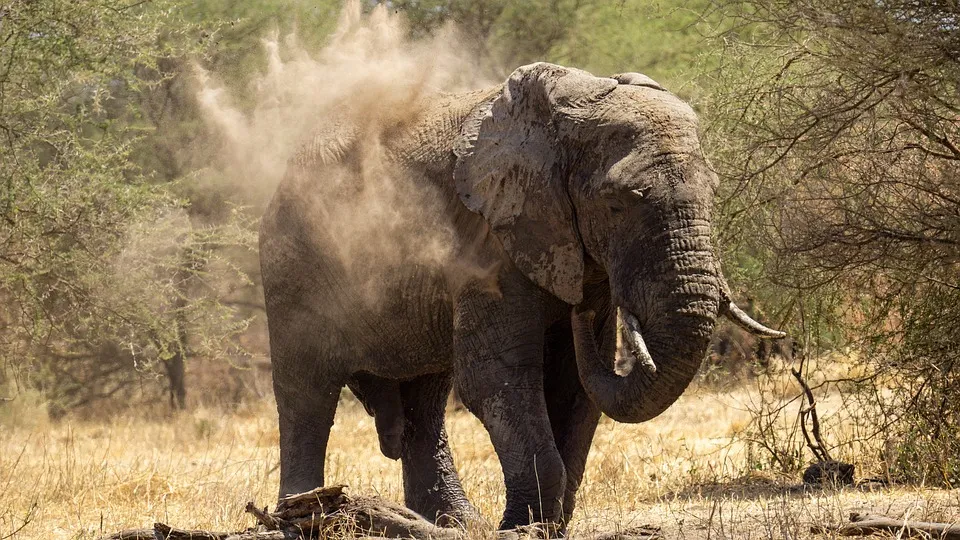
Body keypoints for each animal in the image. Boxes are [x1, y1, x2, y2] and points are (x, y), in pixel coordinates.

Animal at [258, 61, 784, 528]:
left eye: (714, 192)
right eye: (616, 203)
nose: (580, 309)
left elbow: (573, 385)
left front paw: (545, 525)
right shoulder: (489, 238)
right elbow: (496, 376)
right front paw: (523, 528)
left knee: (426, 399)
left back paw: (455, 523)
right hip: (292, 265)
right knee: (307, 393)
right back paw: (299, 516)